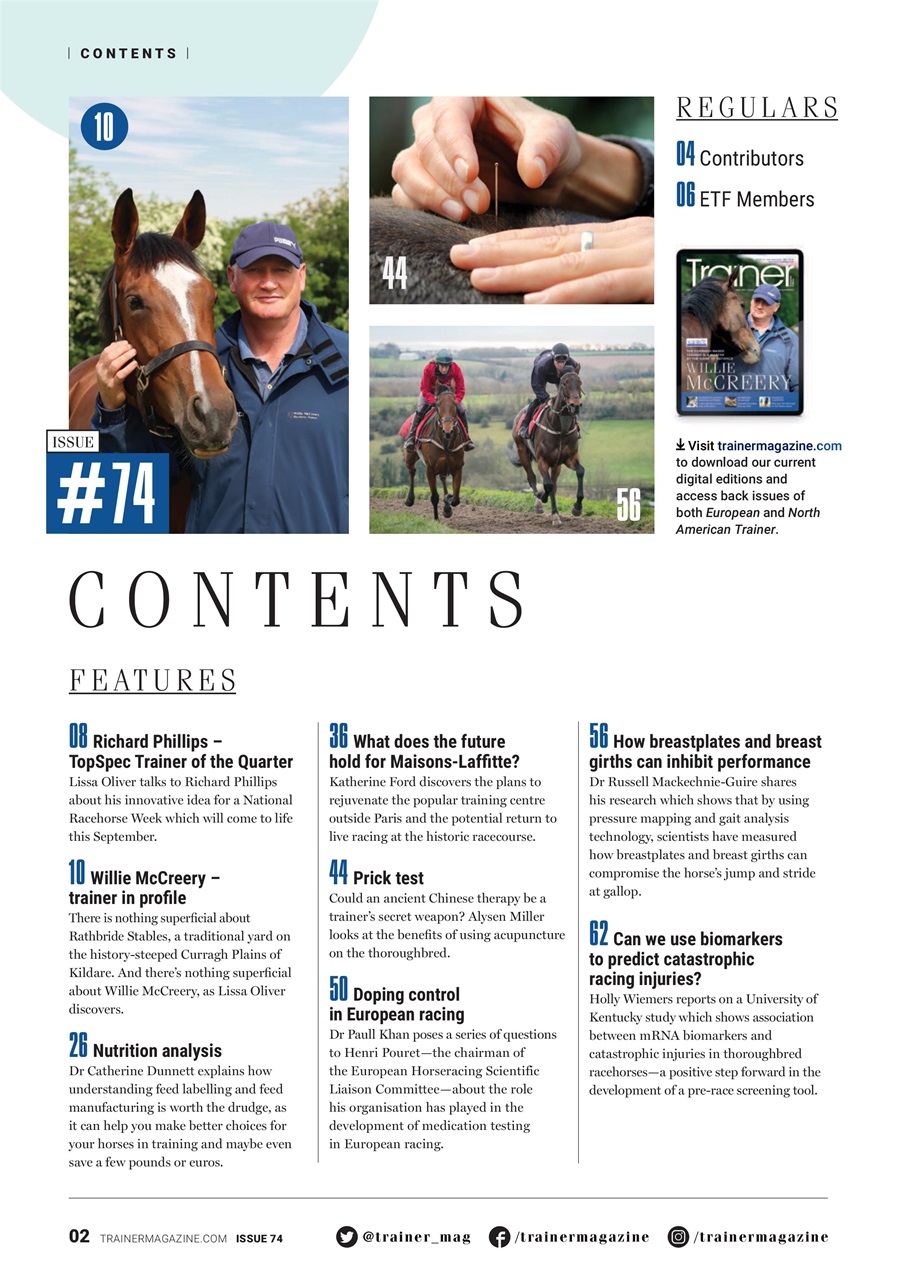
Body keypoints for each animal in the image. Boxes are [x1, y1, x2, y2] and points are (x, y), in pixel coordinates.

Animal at [402, 385, 467, 520]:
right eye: (438, 405)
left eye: (455, 404)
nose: (448, 430)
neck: (446, 441)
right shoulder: (430, 469)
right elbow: (435, 497)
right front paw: (436, 519)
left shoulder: (458, 467)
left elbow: (456, 499)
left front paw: (447, 504)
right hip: (410, 456)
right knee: (412, 471)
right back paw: (409, 499)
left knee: (442, 478)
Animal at [510, 369, 584, 527]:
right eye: (564, 383)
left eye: (579, 382)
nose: (575, 405)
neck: (560, 429)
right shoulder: (541, 460)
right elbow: (547, 485)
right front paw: (543, 498)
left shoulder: (569, 458)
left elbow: (580, 471)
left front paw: (577, 508)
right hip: (522, 451)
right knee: (531, 477)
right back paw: (538, 503)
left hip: (557, 465)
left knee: (554, 484)